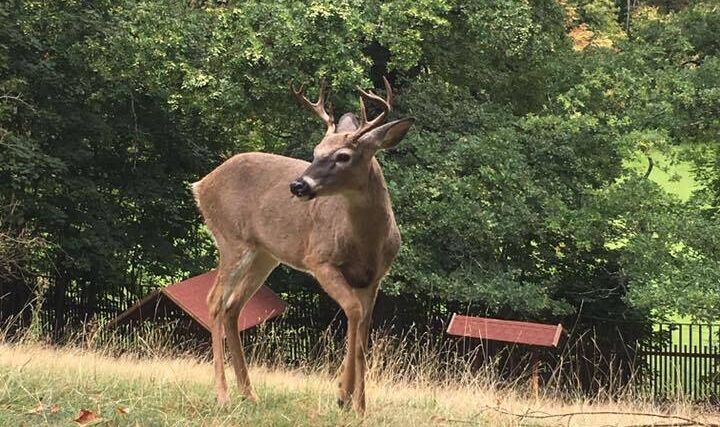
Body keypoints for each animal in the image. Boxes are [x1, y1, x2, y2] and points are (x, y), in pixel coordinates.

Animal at [191, 77, 414, 414]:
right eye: (316, 151)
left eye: (343, 156)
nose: (298, 185)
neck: (367, 242)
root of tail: (200, 185)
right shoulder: (319, 259)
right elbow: (353, 311)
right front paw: (344, 395)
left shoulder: (375, 277)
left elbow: (363, 328)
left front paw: (358, 404)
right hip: (232, 239)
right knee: (215, 300)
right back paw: (223, 395)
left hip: (264, 254)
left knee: (232, 307)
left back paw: (249, 394)